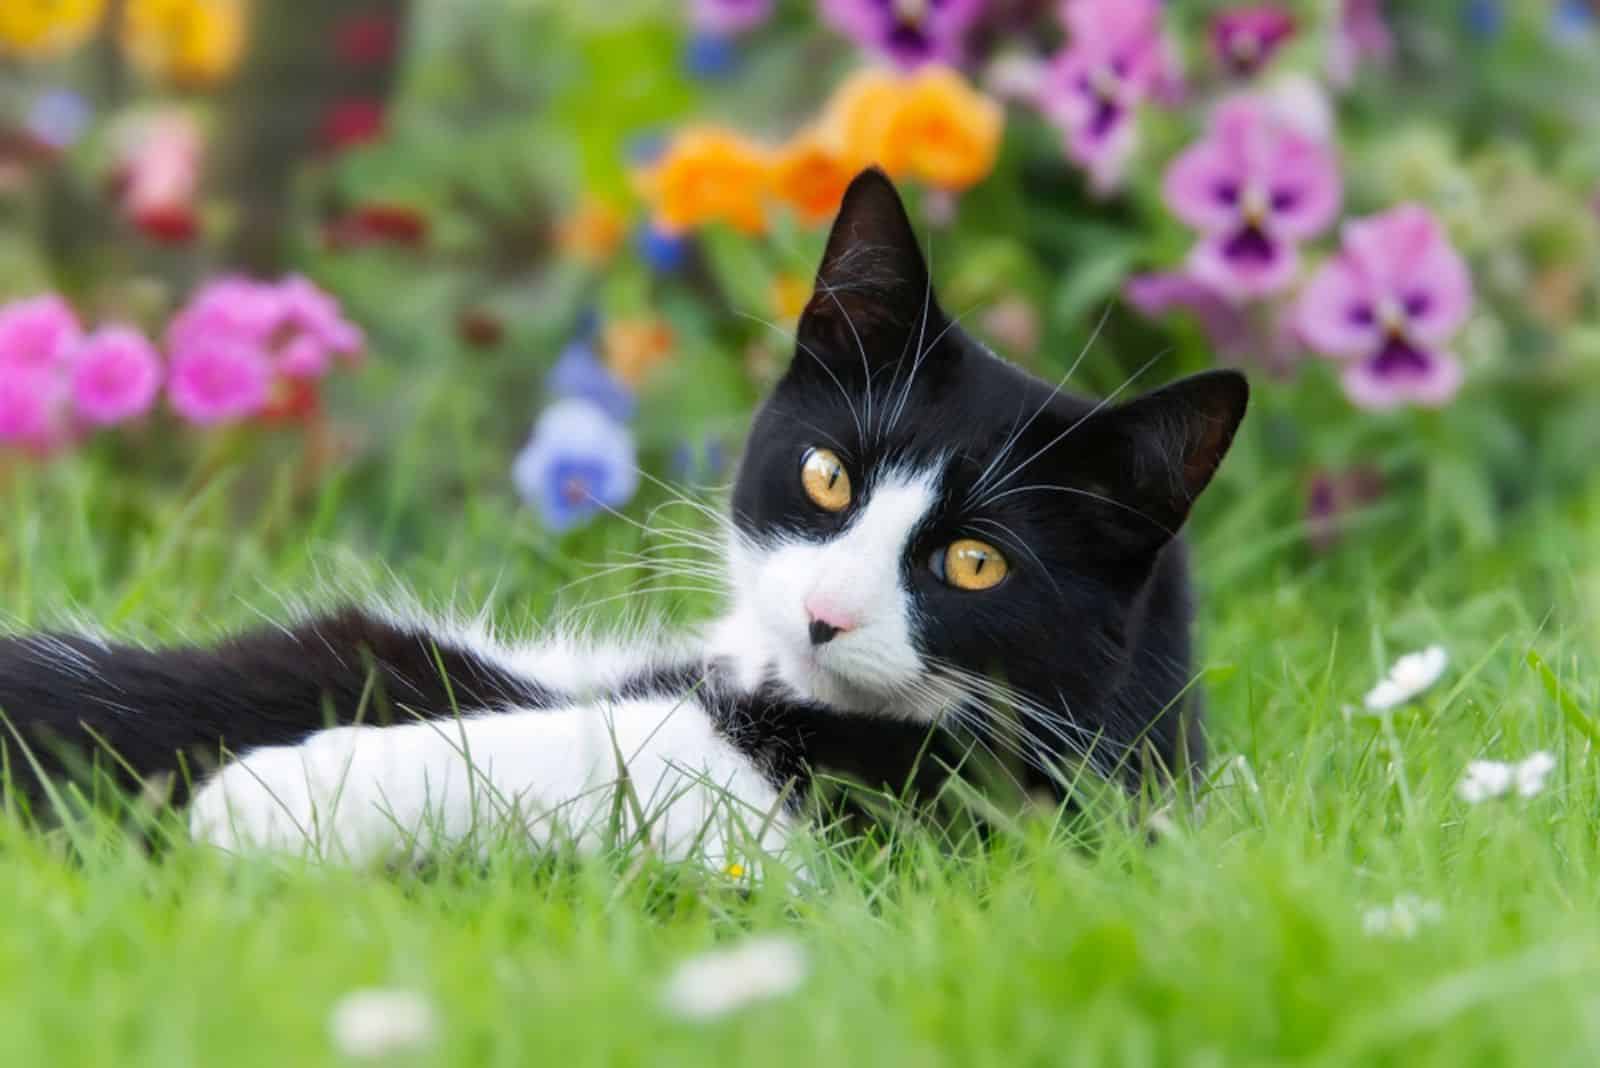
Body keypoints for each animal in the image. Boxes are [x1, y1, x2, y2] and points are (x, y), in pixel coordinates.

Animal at [0, 168, 1248, 869]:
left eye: (977, 565)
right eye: (827, 478)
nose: (826, 616)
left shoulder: (926, 820)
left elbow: (604, 758)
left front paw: (273, 796)